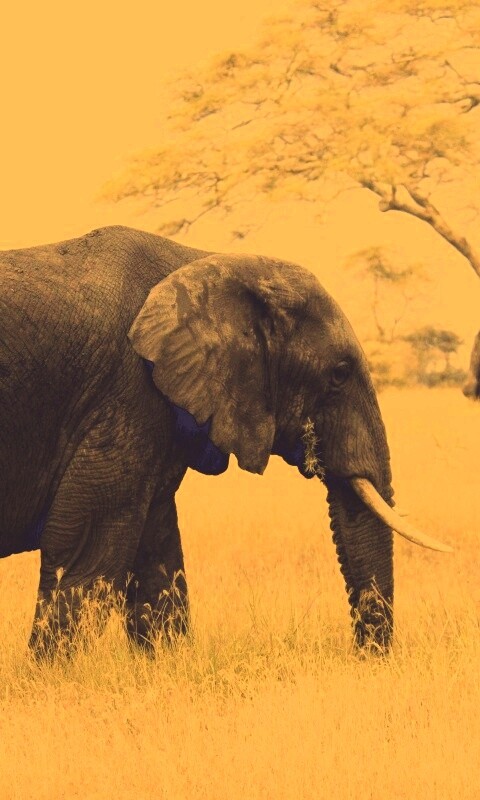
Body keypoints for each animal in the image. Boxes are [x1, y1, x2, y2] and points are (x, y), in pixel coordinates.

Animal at [0, 225, 451, 657]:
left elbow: (156, 554)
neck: (206, 261)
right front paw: (52, 673)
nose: (364, 657)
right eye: (339, 374)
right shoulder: (127, 394)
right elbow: (87, 552)